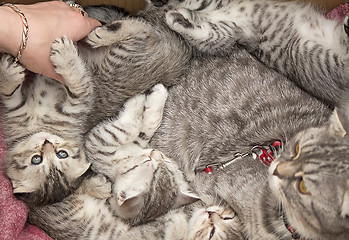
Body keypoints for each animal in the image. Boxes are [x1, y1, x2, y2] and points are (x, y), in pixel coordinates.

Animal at [0, 4, 190, 205]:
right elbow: (10, 94)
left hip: (123, 54)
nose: (46, 143)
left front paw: (65, 57)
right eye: (36, 160)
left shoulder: (80, 101)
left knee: (142, 31)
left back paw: (102, 33)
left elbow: (76, 80)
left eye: (61, 154)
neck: (38, 126)